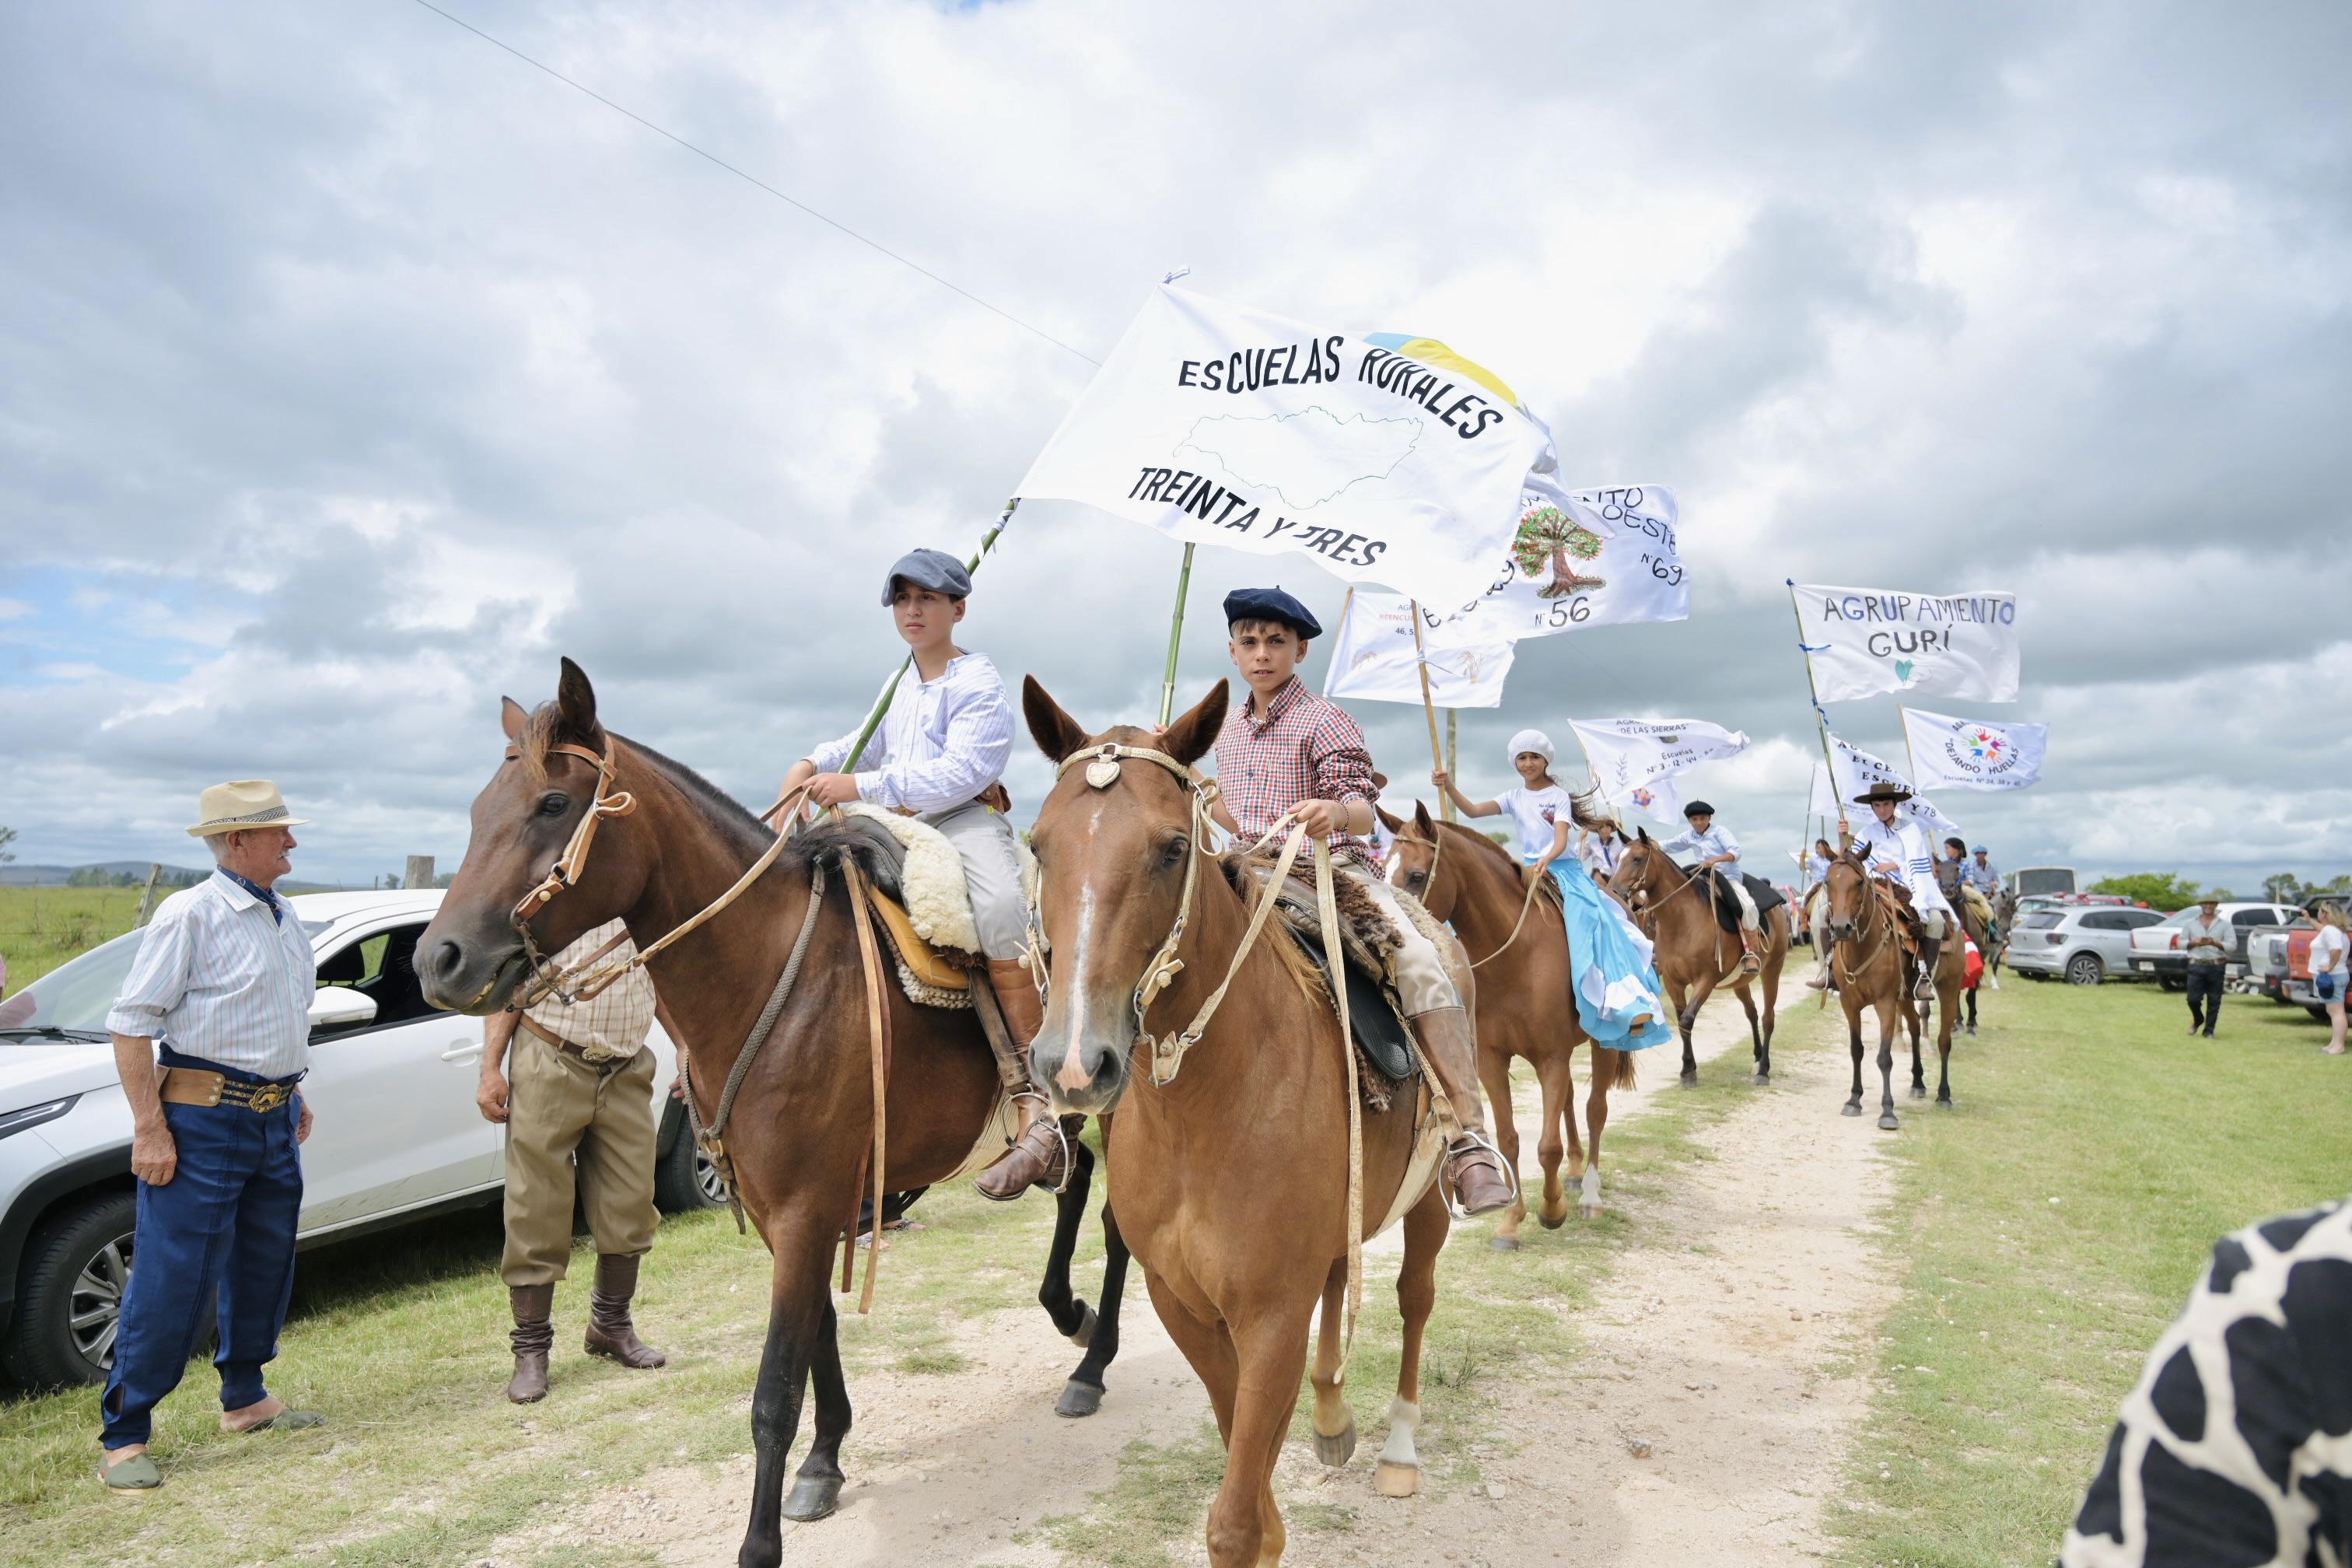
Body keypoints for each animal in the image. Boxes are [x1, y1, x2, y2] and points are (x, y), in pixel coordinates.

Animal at [421, 658, 1138, 1568]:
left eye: (552, 803)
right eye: (481, 808)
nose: (439, 959)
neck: (772, 976)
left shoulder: (803, 1211)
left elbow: (772, 1391)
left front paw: (760, 1542)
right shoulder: (786, 1212)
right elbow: (817, 1343)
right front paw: (825, 1464)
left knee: (1120, 1219)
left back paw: (1093, 1363)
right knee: (1074, 1182)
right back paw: (1072, 1321)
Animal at [1025, 681, 1448, 1568]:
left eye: (1170, 848)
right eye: (1040, 846)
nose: (1075, 1062)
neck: (1204, 1113)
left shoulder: (1272, 1313)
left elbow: (1235, 1516)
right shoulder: (1181, 1302)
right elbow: (1241, 1451)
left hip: (1429, 1198)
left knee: (1414, 1297)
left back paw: (1397, 1447)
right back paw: (1331, 1414)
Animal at [1374, 803, 1636, 1241]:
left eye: (1416, 875)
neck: (1518, 958)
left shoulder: (1550, 1058)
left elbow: (1547, 1146)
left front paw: (1552, 1209)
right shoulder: (1493, 1063)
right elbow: (1510, 1140)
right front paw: (1512, 1222)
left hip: (1604, 1045)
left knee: (1595, 1110)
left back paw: (1589, 1195)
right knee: (1570, 1104)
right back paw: (1575, 1173)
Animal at [1608, 831, 1787, 1090]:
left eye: (1638, 859)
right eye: (1616, 858)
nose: (1612, 892)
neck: (1683, 921)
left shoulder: (1705, 980)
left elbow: (1687, 1019)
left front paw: (1688, 1071)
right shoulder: (1673, 982)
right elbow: (1682, 1022)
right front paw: (1689, 1068)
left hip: (1772, 971)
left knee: (1768, 1018)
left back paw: (1763, 1069)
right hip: (1740, 981)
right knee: (1752, 1012)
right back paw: (1757, 1057)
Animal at [1815, 846, 1966, 1128]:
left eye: (1859, 882)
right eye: (1828, 882)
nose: (1840, 928)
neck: (1861, 948)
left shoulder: (1885, 1003)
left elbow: (1884, 1058)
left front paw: (1887, 1111)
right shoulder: (1850, 1004)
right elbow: (1857, 1051)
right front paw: (1854, 1099)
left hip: (1949, 990)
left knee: (1943, 1041)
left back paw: (1944, 1095)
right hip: (1905, 996)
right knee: (1916, 1027)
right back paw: (1918, 1083)